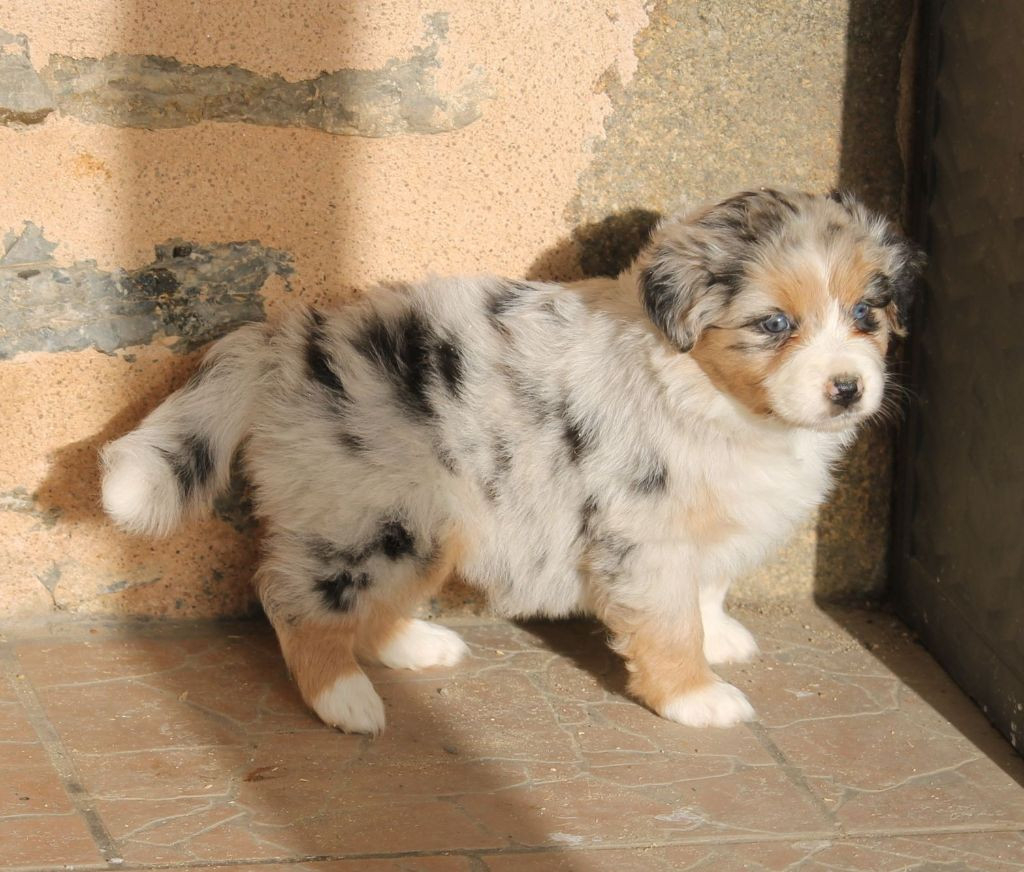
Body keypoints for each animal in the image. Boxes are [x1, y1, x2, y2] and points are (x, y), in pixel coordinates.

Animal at [99, 190, 925, 736]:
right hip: (371, 518)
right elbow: (667, 623)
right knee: (296, 597)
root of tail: (285, 347)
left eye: (866, 313)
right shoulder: (644, 533)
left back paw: (416, 647)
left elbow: (710, 586)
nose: (847, 389)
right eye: (774, 324)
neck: (713, 393)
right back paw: (346, 700)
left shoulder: (713, 521)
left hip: (425, 522)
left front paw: (720, 633)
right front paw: (696, 695)